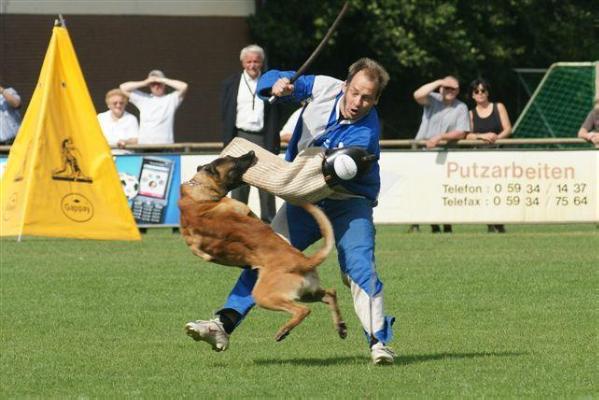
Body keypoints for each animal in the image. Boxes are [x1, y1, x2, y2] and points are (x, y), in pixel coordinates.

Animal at [178, 150, 346, 340]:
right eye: (233, 161)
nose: (251, 152)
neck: (199, 193)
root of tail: (303, 261)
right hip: (298, 293)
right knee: (323, 298)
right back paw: (336, 327)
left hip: (272, 295)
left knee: (308, 307)